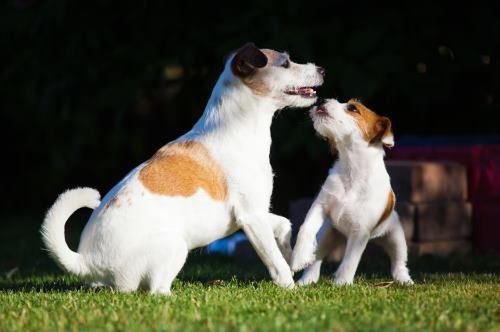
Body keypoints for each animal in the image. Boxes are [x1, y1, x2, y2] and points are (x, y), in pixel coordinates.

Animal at [292, 98, 412, 286]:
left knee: (399, 261)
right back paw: (306, 280)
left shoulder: (360, 233)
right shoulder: (320, 206)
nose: (323, 99)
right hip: (326, 234)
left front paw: (342, 283)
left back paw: (404, 279)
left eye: (353, 108)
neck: (351, 169)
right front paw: (298, 257)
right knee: (316, 259)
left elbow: (350, 260)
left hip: (396, 237)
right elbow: (305, 228)